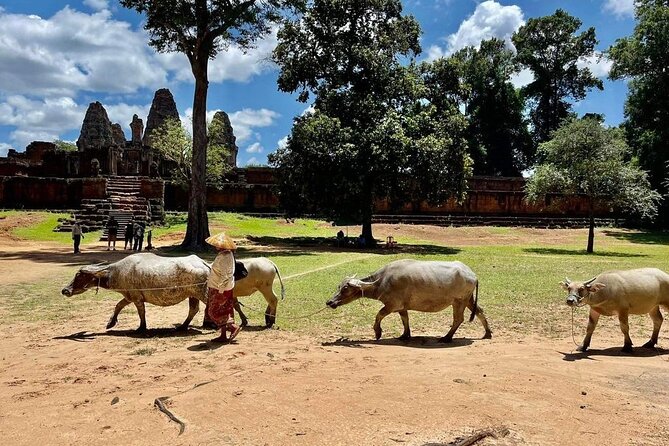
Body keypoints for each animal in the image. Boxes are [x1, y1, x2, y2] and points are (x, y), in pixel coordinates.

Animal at [62, 254, 210, 332]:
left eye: (79, 276)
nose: (65, 290)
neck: (116, 272)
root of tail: (203, 263)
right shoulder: (129, 297)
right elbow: (118, 305)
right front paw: (110, 323)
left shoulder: (136, 298)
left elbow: (141, 312)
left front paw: (142, 328)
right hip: (192, 295)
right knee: (194, 309)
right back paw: (183, 326)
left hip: (201, 293)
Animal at [324, 258, 490, 342]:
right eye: (339, 286)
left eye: (345, 289)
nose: (330, 302)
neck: (382, 281)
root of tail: (472, 274)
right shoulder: (402, 307)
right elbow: (405, 320)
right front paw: (405, 335)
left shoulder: (391, 305)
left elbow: (379, 315)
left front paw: (378, 333)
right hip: (468, 299)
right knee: (480, 311)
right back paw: (487, 333)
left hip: (459, 301)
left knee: (458, 319)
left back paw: (447, 337)